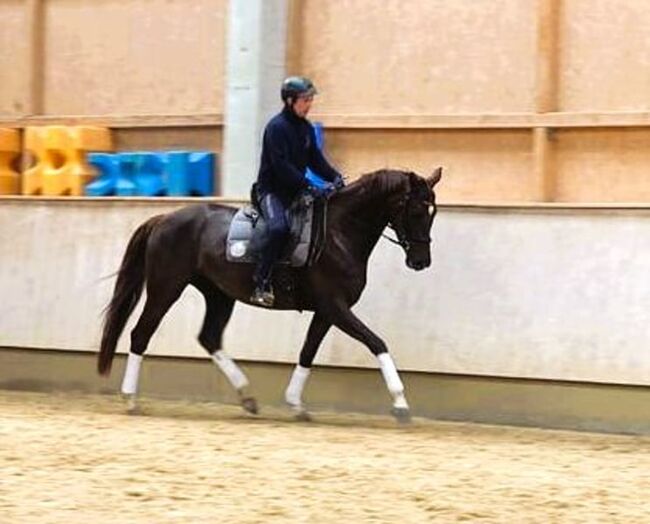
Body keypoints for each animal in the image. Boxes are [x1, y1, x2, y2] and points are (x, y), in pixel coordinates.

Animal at [97, 168, 440, 422]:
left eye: (432, 212)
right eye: (416, 210)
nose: (421, 261)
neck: (339, 233)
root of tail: (163, 219)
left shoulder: (326, 311)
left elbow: (308, 351)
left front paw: (296, 404)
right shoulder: (336, 307)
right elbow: (377, 343)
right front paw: (401, 404)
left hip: (219, 295)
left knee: (209, 337)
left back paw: (248, 398)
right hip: (166, 288)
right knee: (141, 333)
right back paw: (130, 399)